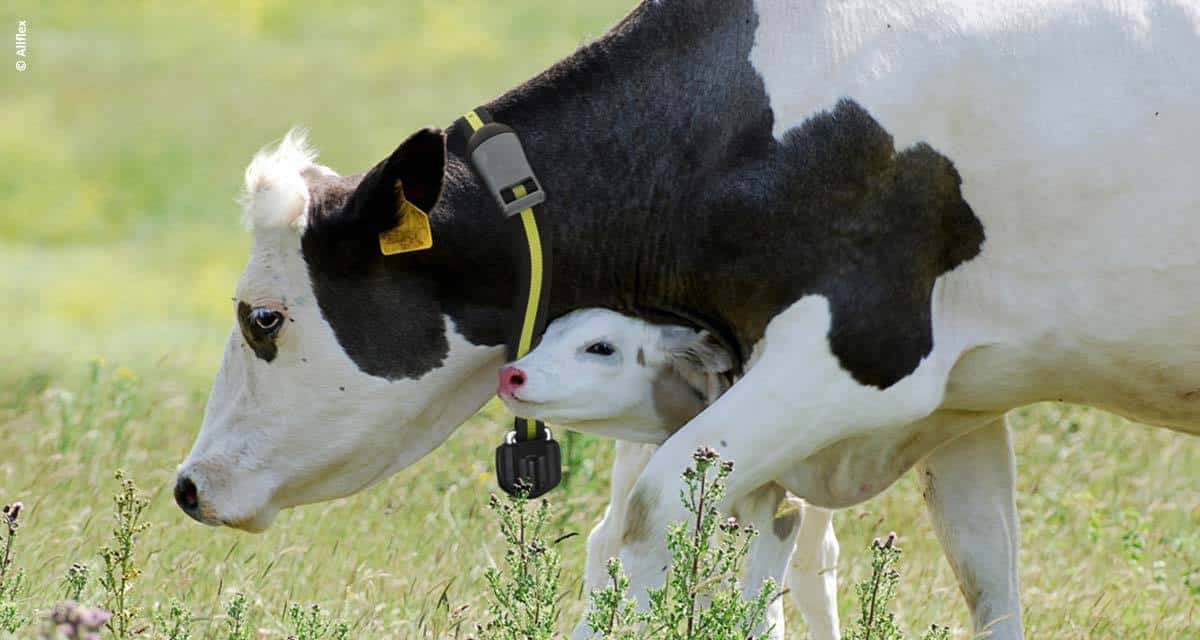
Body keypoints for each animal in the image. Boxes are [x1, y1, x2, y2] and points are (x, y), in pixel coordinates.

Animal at [177, 2, 1200, 633]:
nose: (188, 486)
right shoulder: (963, 400)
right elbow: (985, 576)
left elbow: (651, 516)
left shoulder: (860, 357)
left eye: (262, 318)